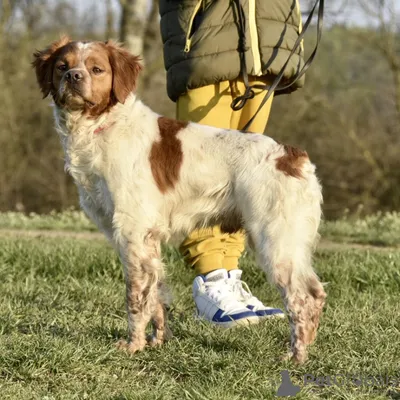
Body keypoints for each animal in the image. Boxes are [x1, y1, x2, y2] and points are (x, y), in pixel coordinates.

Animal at [31, 38, 324, 366]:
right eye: (62, 66)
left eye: (96, 69)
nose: (73, 77)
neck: (101, 125)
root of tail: (292, 156)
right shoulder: (144, 239)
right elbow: (156, 295)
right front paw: (158, 341)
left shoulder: (133, 231)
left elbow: (136, 297)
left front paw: (134, 345)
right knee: (315, 293)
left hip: (275, 241)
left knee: (304, 298)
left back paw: (296, 356)